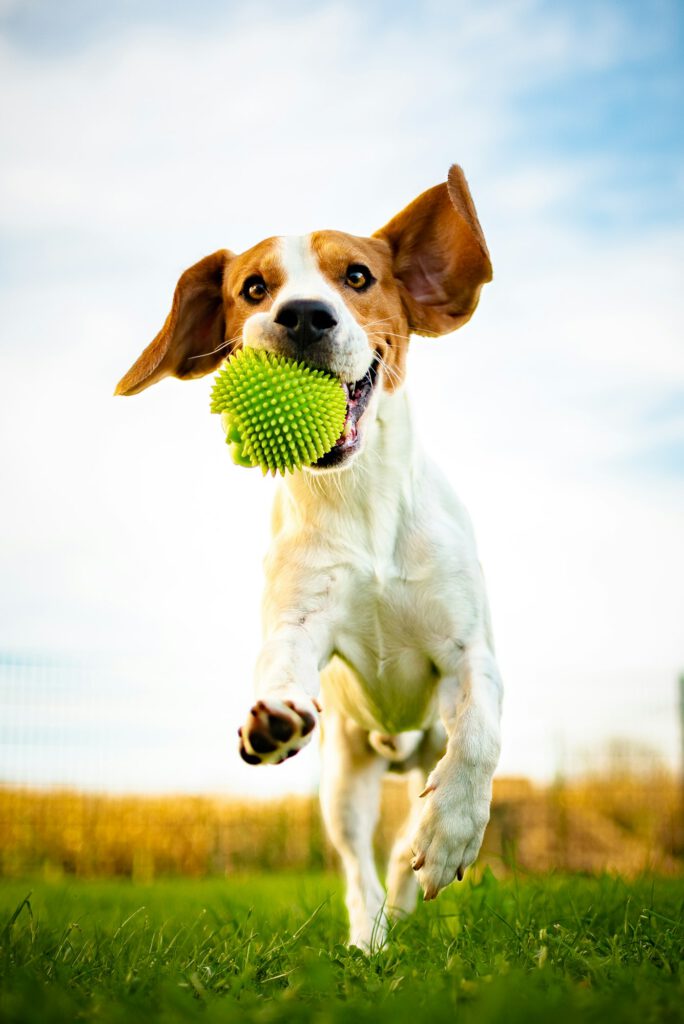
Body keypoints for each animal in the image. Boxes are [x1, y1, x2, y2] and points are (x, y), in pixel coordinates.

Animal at [116, 163, 501, 946]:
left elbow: (479, 732)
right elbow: (279, 664)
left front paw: (450, 832)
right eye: (253, 289)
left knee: (409, 821)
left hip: (420, 744)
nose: (302, 315)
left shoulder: (470, 651)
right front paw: (270, 715)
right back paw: (370, 939)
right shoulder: (300, 622)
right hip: (343, 780)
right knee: (359, 866)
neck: (360, 500)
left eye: (357, 276)